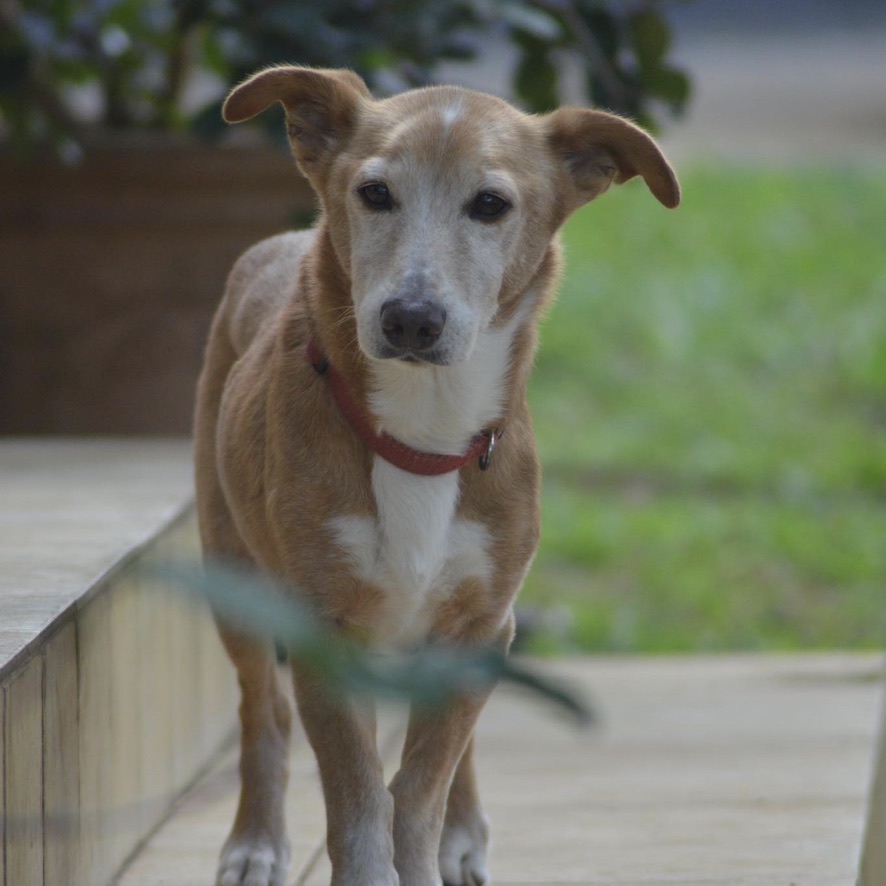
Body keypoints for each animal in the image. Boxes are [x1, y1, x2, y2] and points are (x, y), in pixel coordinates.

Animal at [194, 66, 680, 886]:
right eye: (374, 192)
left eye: (490, 205)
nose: (411, 319)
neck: (424, 434)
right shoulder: (324, 625)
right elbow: (360, 797)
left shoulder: (480, 622)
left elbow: (419, 785)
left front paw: (430, 846)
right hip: (231, 565)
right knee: (264, 711)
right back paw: (256, 842)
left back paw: (464, 831)